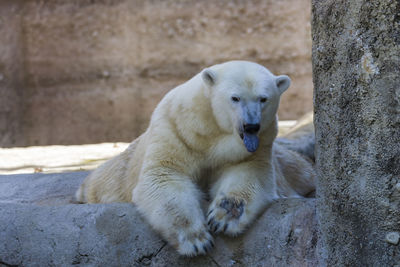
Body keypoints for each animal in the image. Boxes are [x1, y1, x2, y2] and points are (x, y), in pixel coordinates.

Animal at [76, 60, 316, 258]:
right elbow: (164, 177)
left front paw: (224, 217)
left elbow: (248, 174)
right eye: (235, 97)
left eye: (263, 99)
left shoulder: (258, 145)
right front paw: (197, 240)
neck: (213, 131)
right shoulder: (175, 130)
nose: (250, 126)